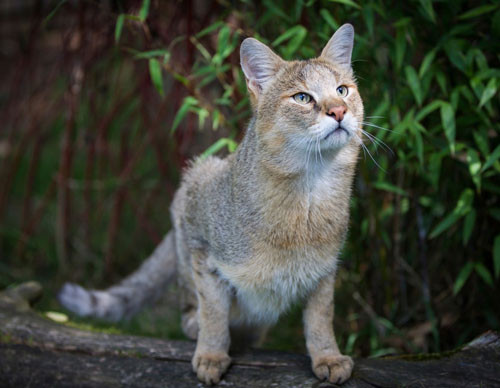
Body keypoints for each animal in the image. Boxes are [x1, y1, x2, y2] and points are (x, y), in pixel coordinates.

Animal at [58, 24, 364, 384]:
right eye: (302, 97)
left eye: (342, 90)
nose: (339, 112)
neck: (308, 196)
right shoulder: (200, 235)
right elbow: (214, 311)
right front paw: (211, 354)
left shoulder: (324, 271)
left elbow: (320, 318)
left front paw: (327, 356)